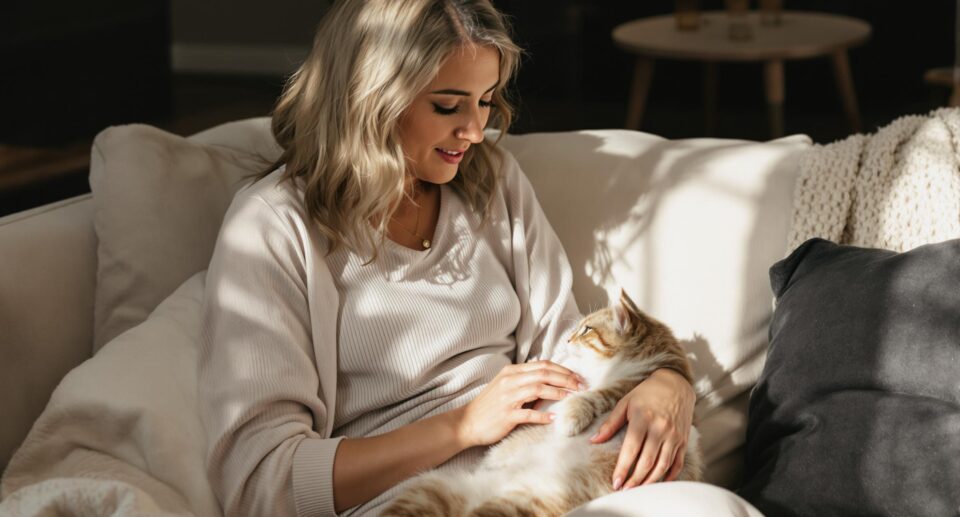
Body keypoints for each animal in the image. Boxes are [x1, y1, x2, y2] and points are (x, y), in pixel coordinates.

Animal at [382, 290, 704, 516]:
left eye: (587, 330)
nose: (568, 339)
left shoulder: (640, 381)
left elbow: (604, 393)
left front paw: (570, 417)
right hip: (429, 488)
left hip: (512, 502)